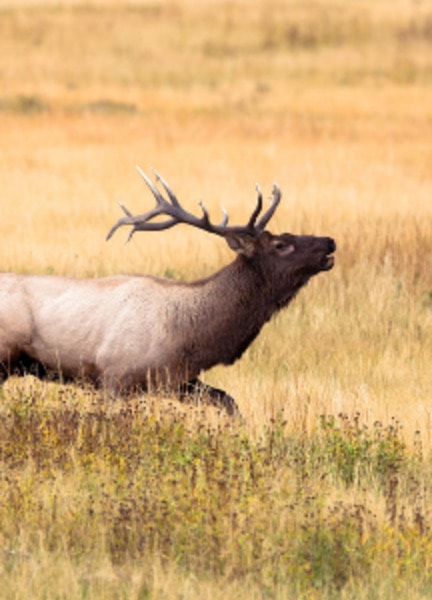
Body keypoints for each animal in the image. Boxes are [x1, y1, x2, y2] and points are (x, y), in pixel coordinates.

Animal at [0, 166, 336, 414]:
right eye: (281, 244)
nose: (330, 241)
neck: (189, 336)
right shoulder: (113, 376)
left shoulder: (177, 380)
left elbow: (229, 401)